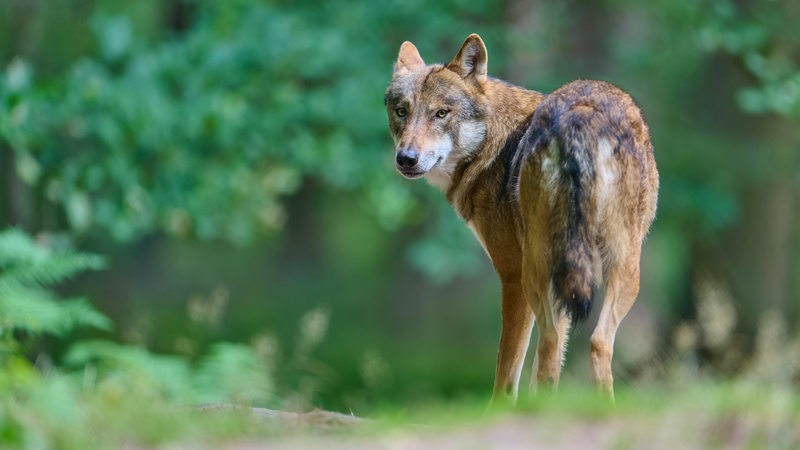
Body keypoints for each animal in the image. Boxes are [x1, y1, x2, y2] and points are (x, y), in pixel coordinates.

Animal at [384, 33, 660, 402]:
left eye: (441, 113)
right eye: (402, 111)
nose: (406, 159)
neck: (492, 144)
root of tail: (581, 114)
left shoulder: (512, 277)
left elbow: (506, 370)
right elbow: (545, 366)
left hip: (537, 272)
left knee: (551, 341)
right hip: (620, 265)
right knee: (593, 342)